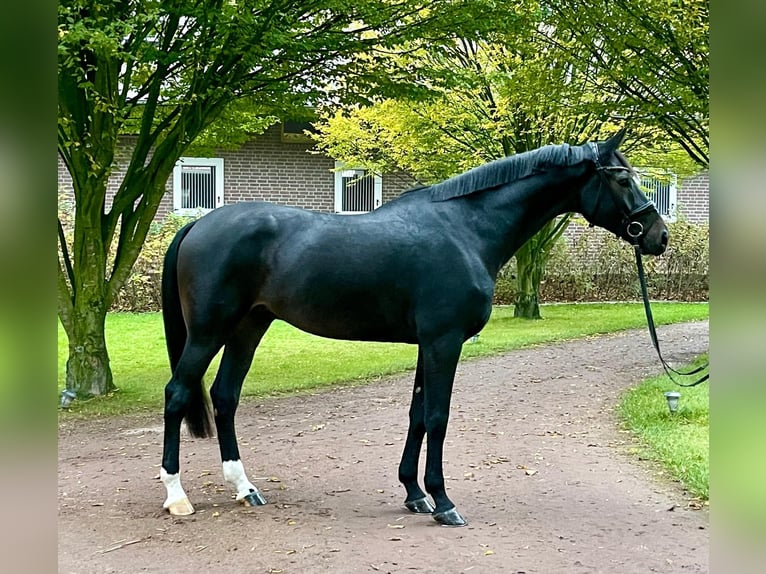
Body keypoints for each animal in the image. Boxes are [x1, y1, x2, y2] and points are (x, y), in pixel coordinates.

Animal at [159, 129, 668, 528]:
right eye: (623, 178)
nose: (658, 236)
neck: (466, 229)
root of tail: (198, 225)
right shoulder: (444, 342)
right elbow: (438, 417)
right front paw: (443, 502)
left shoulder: (429, 343)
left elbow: (418, 415)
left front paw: (414, 494)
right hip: (208, 331)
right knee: (178, 394)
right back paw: (177, 496)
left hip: (249, 326)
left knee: (225, 396)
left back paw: (245, 488)